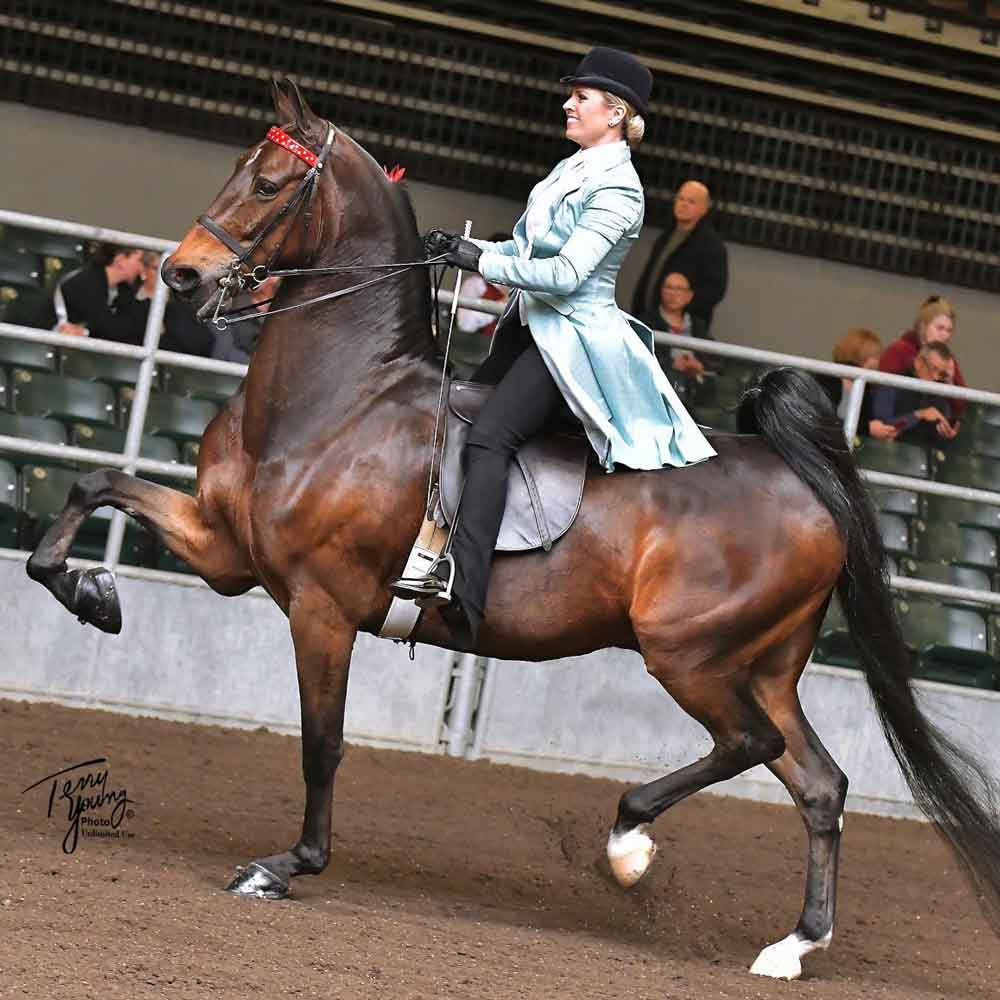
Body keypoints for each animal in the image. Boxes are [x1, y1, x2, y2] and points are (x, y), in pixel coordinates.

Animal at [26, 79, 1000, 980]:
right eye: (238, 167)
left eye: (268, 183)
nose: (181, 276)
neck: (341, 398)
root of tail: (802, 482)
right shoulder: (226, 551)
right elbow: (92, 485)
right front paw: (92, 593)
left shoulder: (320, 607)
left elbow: (322, 743)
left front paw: (288, 866)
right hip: (762, 665)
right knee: (820, 784)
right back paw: (791, 946)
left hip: (689, 654)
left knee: (750, 746)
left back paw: (628, 844)